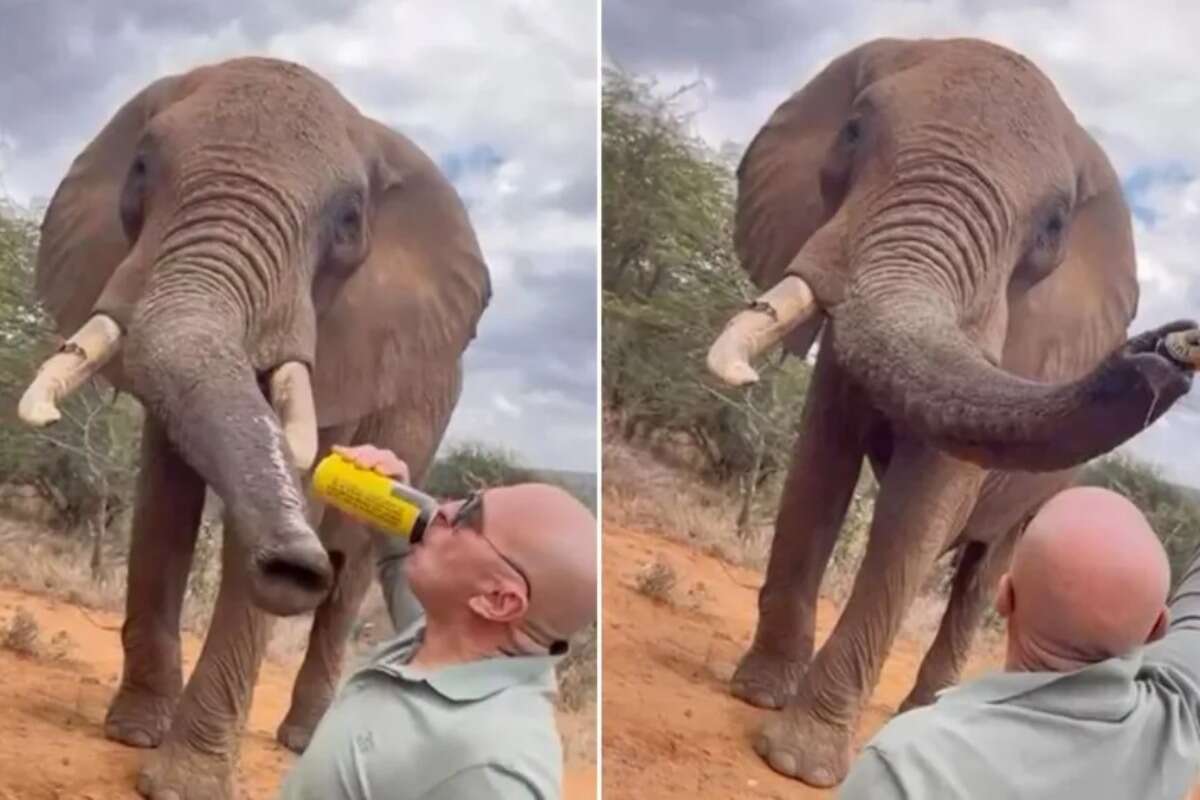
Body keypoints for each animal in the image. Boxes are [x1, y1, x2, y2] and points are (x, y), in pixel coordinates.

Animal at [16, 57, 490, 798]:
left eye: (349, 220)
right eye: (141, 169)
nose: (295, 566)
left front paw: (182, 784)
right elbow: (165, 499)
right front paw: (132, 734)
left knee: (352, 568)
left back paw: (302, 738)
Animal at [704, 37, 1196, 787]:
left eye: (1053, 226)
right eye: (852, 132)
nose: (1173, 346)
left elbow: (922, 501)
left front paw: (799, 763)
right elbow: (820, 462)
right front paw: (758, 695)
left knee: (985, 572)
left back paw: (930, 707)